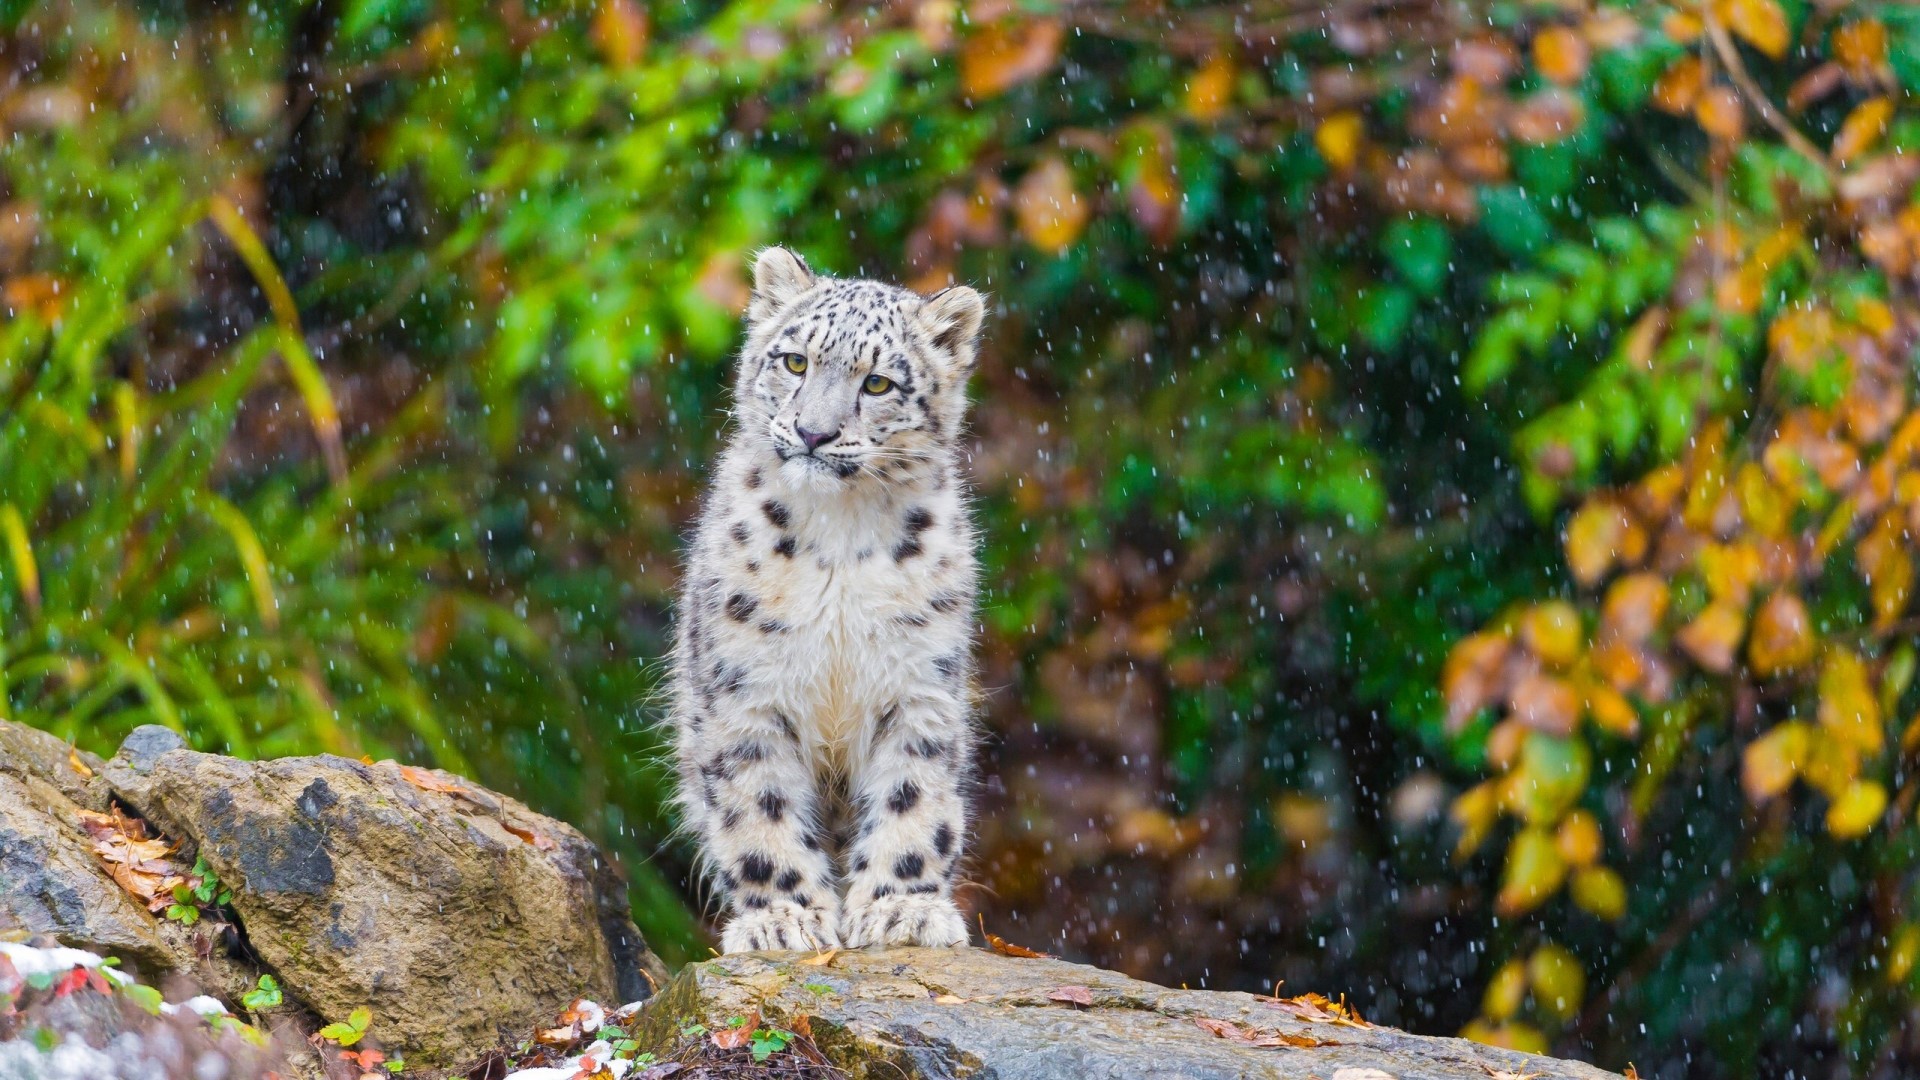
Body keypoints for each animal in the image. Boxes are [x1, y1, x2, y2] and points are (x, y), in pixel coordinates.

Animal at [666, 246, 987, 953]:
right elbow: (758, 804)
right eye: (795, 362)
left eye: (879, 384)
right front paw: (782, 917)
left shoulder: (919, 686)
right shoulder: (746, 690)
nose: (813, 432)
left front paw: (902, 908)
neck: (840, 536)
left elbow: (912, 797)